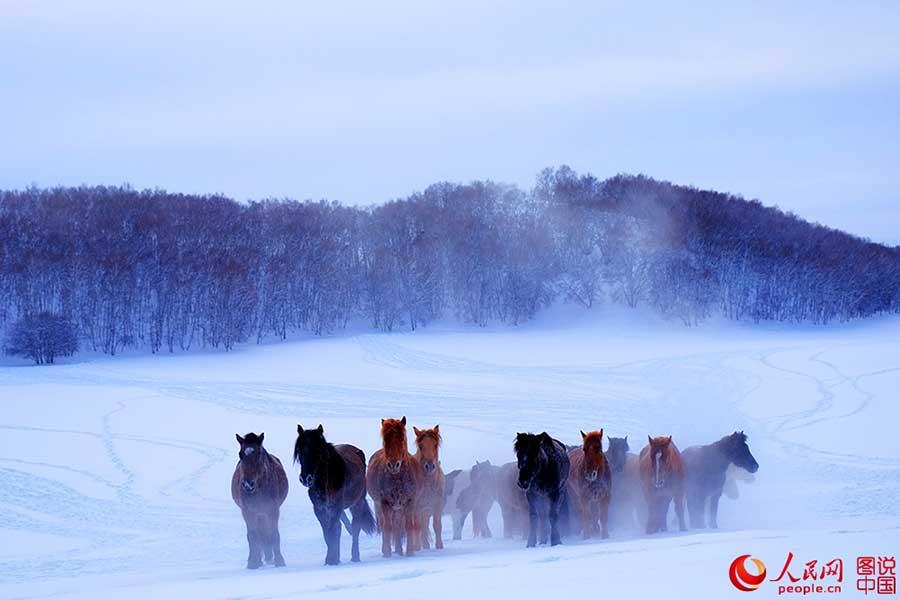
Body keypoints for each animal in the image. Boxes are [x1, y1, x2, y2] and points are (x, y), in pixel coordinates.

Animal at [229, 434, 288, 568]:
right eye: (240, 454)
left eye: (259, 454)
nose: (247, 484)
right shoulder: (247, 512)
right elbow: (252, 536)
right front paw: (253, 562)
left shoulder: (272, 510)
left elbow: (274, 534)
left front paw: (279, 561)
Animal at [294, 422, 374, 564]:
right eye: (300, 452)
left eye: (317, 452)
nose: (305, 478)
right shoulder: (319, 509)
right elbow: (328, 533)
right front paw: (332, 558)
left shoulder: (335, 507)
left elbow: (332, 530)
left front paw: (332, 559)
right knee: (341, 527)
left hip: (357, 503)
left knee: (355, 527)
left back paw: (355, 557)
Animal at [368, 414, 420, 556]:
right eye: (385, 440)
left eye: (402, 439)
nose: (393, 465)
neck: (397, 478)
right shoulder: (385, 503)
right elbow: (387, 527)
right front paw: (386, 553)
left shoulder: (409, 502)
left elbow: (409, 525)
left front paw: (410, 552)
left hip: (399, 508)